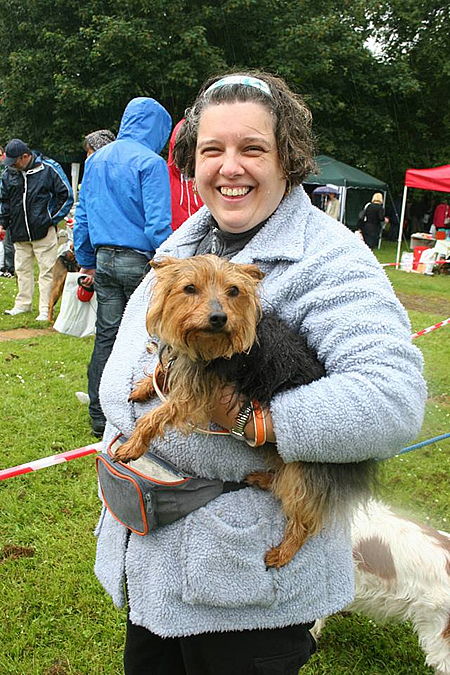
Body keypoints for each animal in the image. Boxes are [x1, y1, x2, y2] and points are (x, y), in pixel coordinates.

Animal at [113, 256, 376, 568]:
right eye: (189, 288)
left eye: (233, 291)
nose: (218, 317)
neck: (207, 345)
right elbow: (165, 370)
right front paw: (145, 387)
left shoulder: (198, 394)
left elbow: (157, 415)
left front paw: (133, 444)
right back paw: (264, 479)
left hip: (310, 466)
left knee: (304, 513)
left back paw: (284, 551)